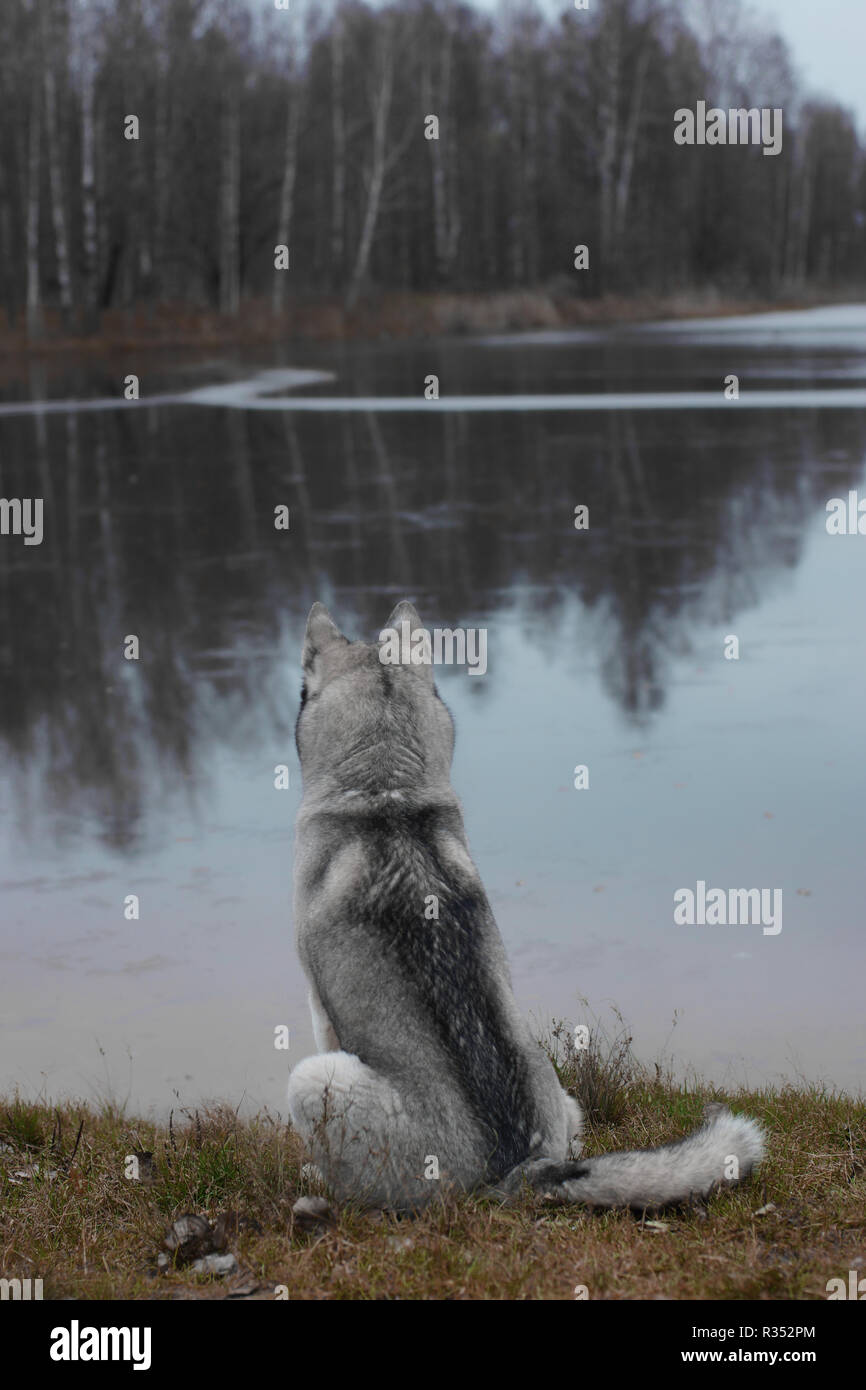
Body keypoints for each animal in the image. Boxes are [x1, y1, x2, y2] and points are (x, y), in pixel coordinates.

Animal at [287, 603, 761, 1212]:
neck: (385, 785)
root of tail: (519, 1166)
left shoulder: (319, 1007)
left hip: (312, 1079)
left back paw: (319, 1186)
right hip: (560, 1085)